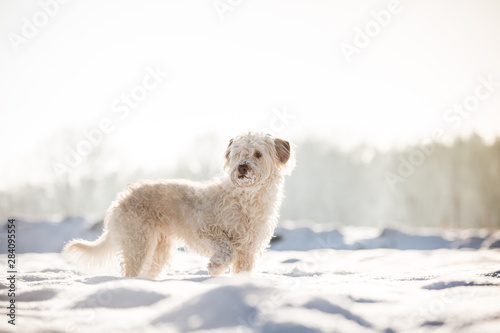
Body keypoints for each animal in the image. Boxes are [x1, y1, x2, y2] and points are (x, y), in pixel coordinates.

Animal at [64, 132, 294, 278]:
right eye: (238, 154)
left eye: (258, 154)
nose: (242, 167)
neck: (246, 198)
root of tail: (121, 198)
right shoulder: (204, 229)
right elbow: (226, 248)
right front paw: (215, 267)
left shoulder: (249, 248)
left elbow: (241, 266)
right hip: (138, 244)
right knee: (131, 272)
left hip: (158, 250)